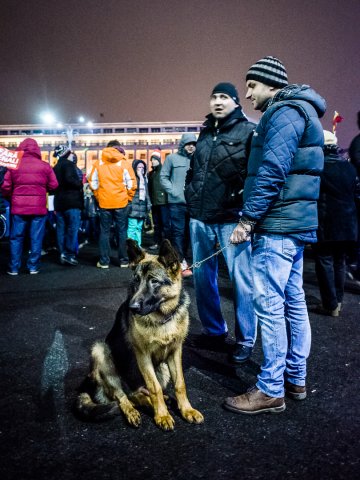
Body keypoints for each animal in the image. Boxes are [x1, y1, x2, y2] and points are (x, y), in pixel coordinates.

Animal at [76, 238, 204, 430]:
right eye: (136, 280)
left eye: (154, 282)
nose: (132, 307)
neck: (162, 317)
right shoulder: (143, 355)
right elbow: (154, 387)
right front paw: (162, 415)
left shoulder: (175, 352)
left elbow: (180, 383)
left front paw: (186, 410)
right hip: (100, 351)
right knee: (123, 396)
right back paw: (134, 411)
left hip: (162, 368)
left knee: (137, 395)